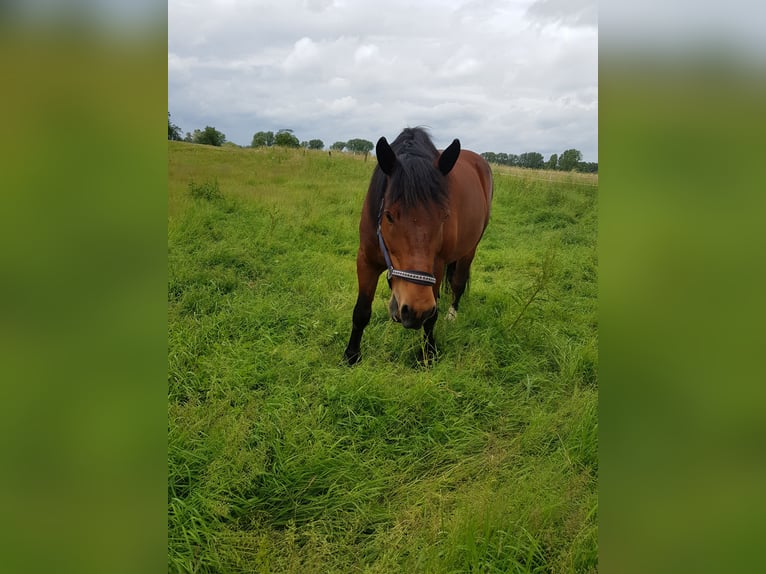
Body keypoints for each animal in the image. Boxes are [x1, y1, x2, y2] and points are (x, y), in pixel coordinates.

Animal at [343, 127, 493, 365]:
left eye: (444, 216)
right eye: (389, 216)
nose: (416, 310)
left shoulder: (437, 266)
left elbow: (432, 317)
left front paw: (429, 354)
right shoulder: (366, 260)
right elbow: (361, 311)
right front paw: (351, 355)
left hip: (470, 249)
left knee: (458, 283)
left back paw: (452, 314)